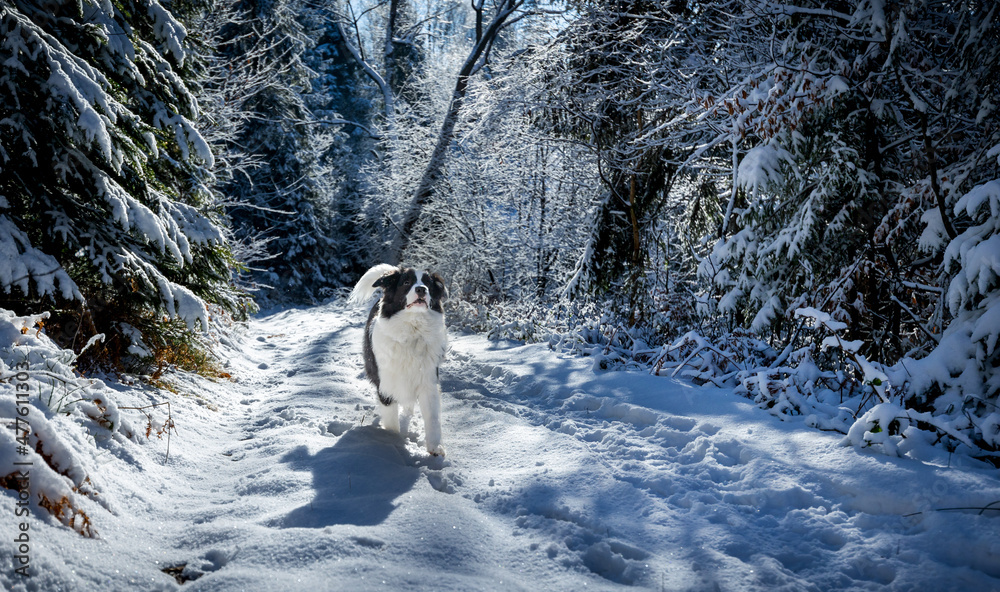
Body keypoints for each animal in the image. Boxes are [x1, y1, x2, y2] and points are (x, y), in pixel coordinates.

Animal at [350, 266, 448, 456]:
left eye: (428, 283)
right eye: (406, 282)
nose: (421, 289)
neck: (412, 330)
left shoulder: (428, 381)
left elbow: (433, 418)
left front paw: (435, 448)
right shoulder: (386, 385)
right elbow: (391, 422)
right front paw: (393, 443)